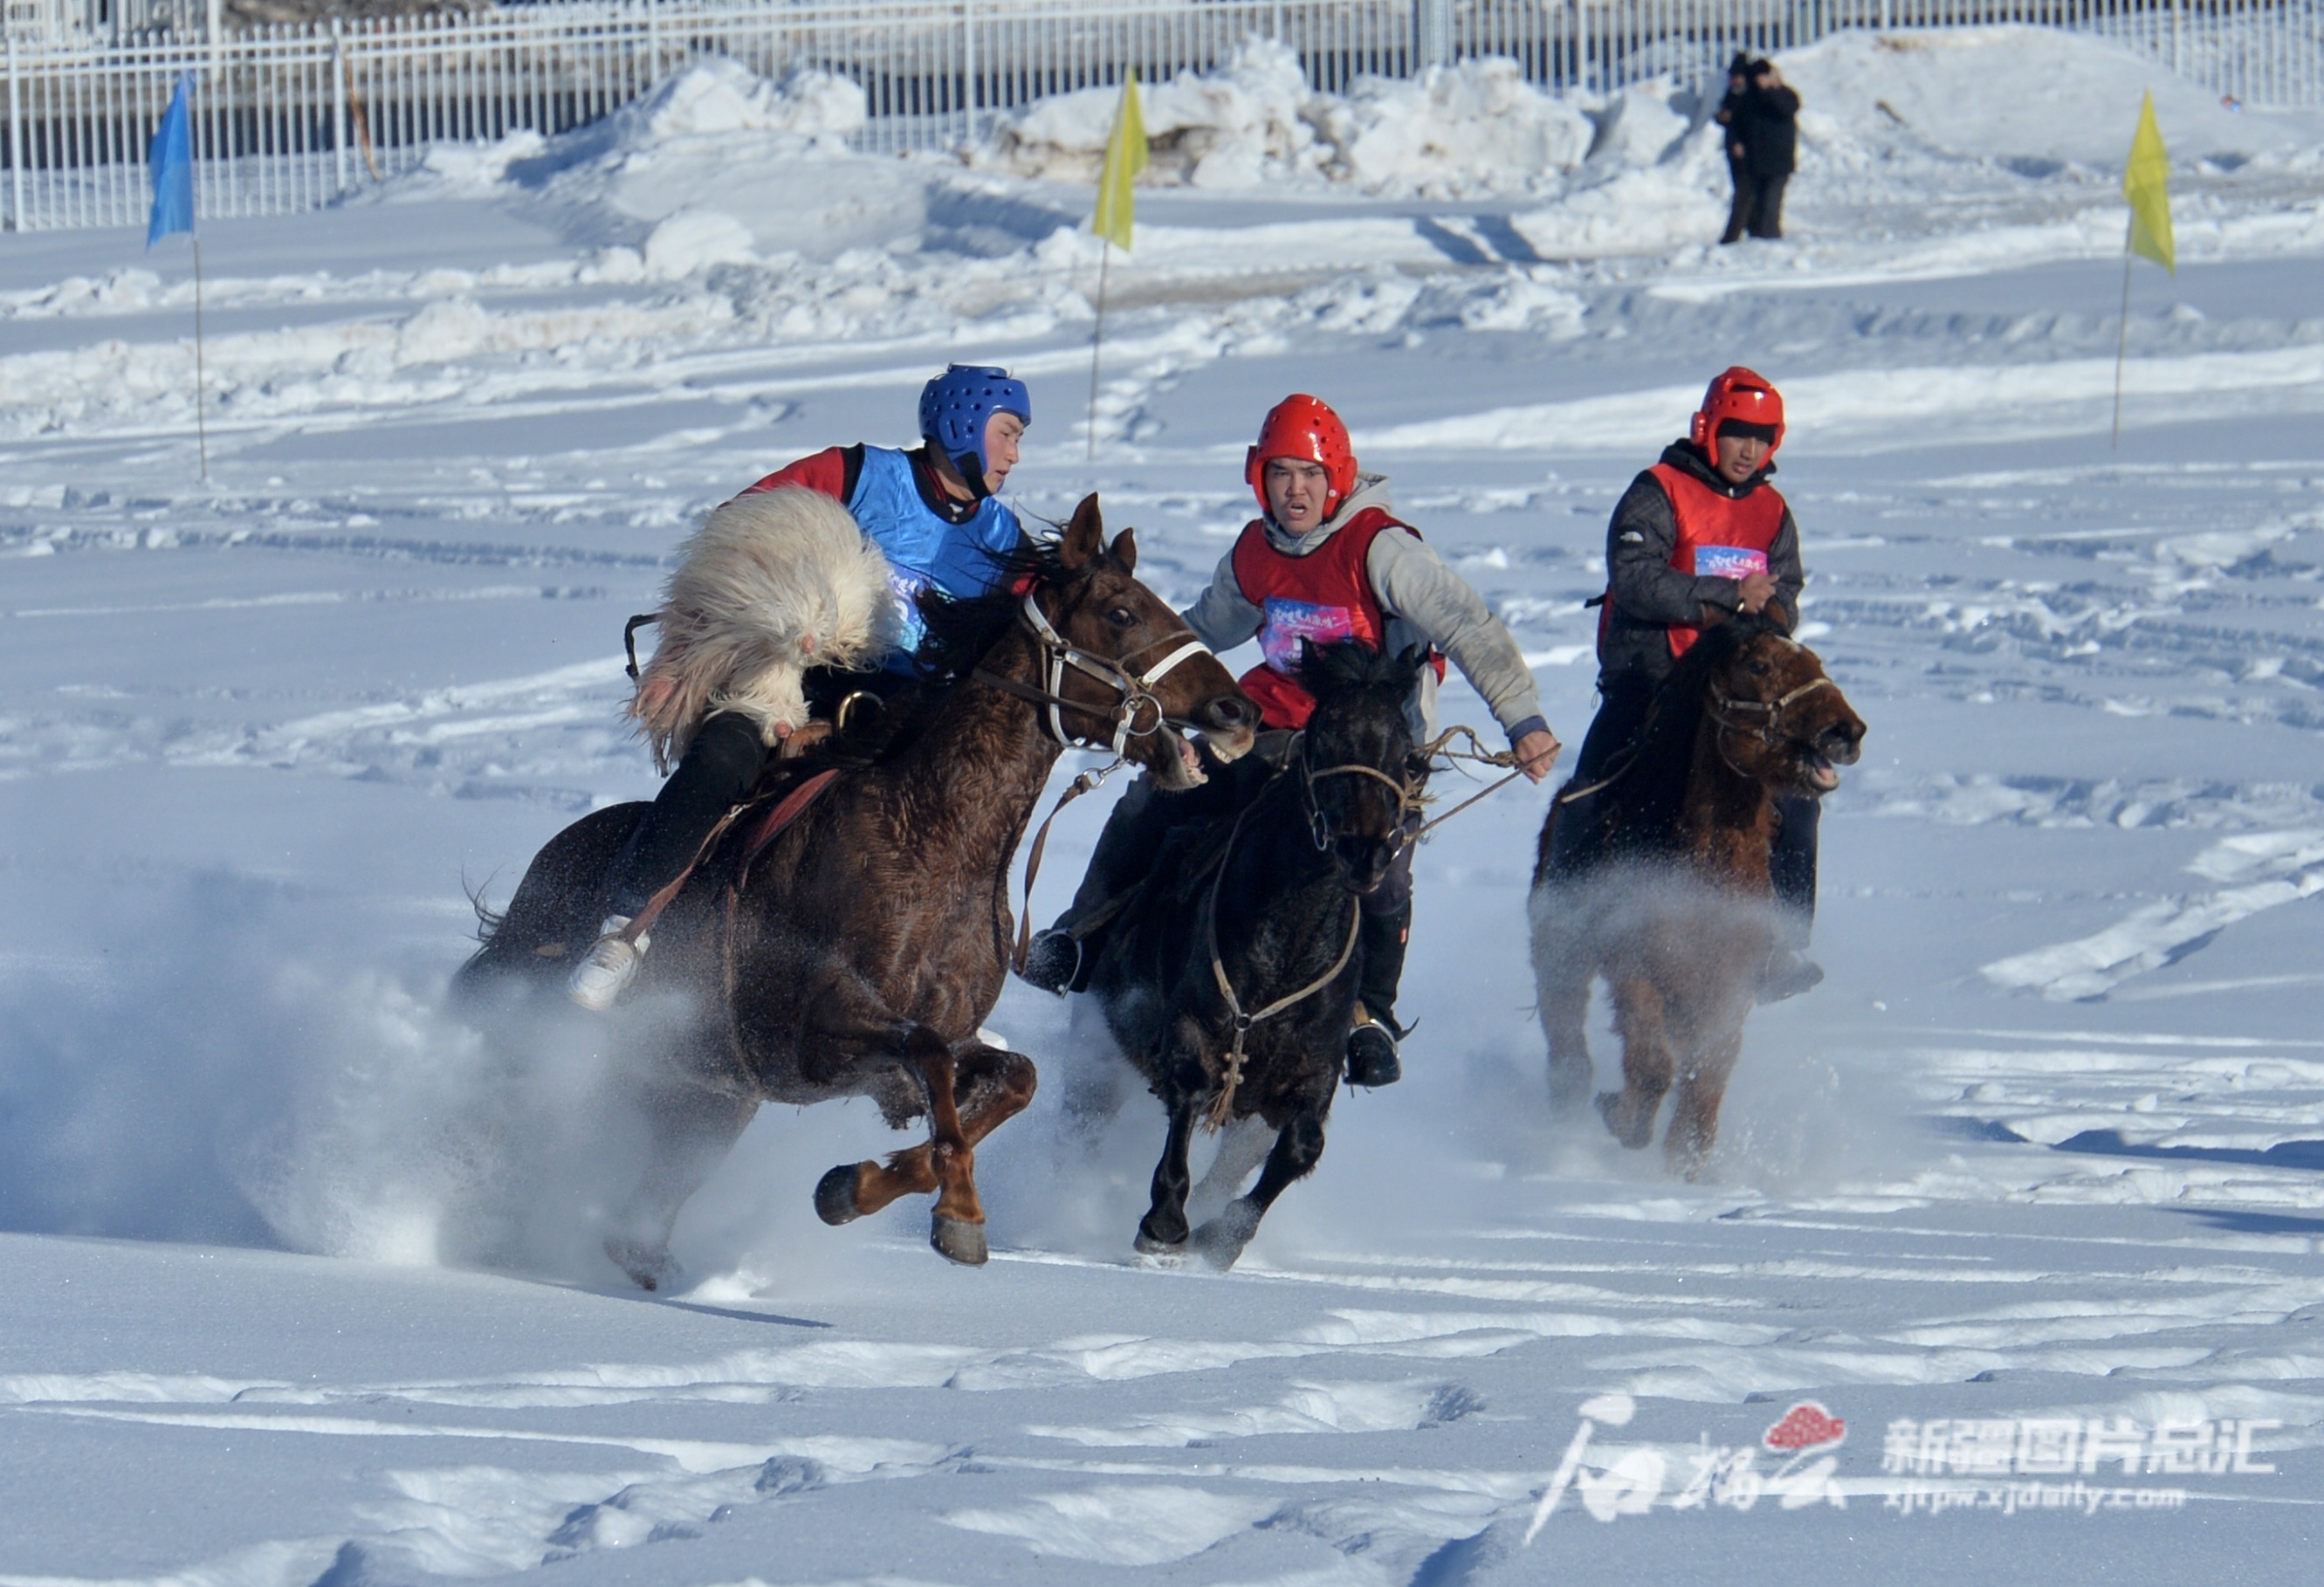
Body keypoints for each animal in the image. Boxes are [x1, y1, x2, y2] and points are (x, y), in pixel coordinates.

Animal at [453, 499, 1255, 1291]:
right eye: (1122, 612)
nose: (1235, 710)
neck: (935, 842)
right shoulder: (816, 1025)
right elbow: (928, 1058)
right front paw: (957, 1212)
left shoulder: (922, 1044)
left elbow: (1007, 1083)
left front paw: (859, 1189)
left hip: (708, 1100)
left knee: (636, 1220)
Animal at [1087, 641, 1431, 1273]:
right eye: (1326, 736)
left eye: (1404, 751)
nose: (1365, 853)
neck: (1287, 951)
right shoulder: (1191, 1030)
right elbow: (1189, 1089)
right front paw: (1165, 1225)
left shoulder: (1312, 1071)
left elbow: (1300, 1145)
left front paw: (1220, 1236)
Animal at [1524, 618, 1868, 1180]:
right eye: (1759, 666)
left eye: (1815, 660)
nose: (1846, 732)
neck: (1704, 864)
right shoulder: (1634, 967)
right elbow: (1653, 1065)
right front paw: (1624, 1119)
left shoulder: (1729, 986)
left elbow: (1706, 1077)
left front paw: (1687, 1164)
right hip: (1562, 950)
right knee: (1565, 1029)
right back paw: (1568, 1106)